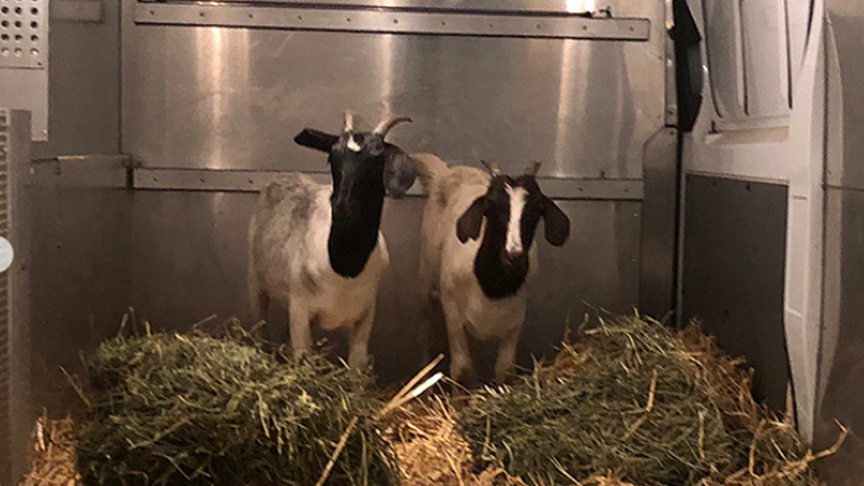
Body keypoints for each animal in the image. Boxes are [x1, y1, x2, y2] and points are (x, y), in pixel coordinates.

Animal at [248, 111, 416, 370]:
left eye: (378, 157)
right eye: (331, 157)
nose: (342, 206)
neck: (345, 268)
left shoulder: (365, 315)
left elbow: (356, 367)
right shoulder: (300, 310)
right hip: (256, 284)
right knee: (261, 330)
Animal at [414, 155, 570, 386]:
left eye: (537, 207)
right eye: (491, 205)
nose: (514, 256)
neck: (492, 285)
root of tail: (446, 172)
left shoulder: (515, 319)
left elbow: (505, 370)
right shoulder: (453, 314)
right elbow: (462, 370)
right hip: (427, 283)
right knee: (426, 335)